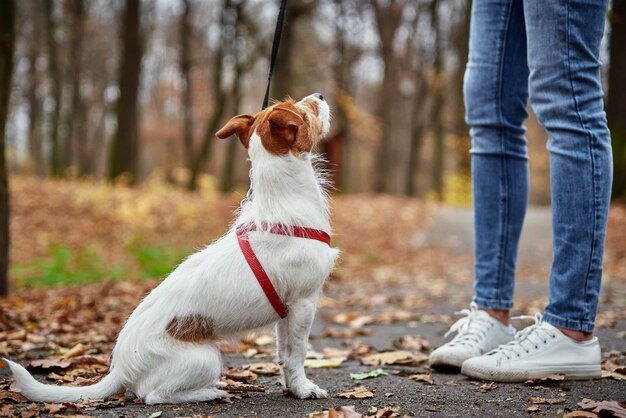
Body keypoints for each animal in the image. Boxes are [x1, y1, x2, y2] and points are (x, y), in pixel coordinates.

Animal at [4, 93, 338, 404]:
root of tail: (120, 369)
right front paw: (304, 388)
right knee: (154, 395)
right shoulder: (304, 303)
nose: (320, 95)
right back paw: (209, 393)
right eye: (305, 109)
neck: (284, 203)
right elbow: (298, 353)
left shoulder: (287, 311)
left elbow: (283, 353)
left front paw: (290, 387)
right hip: (205, 357)